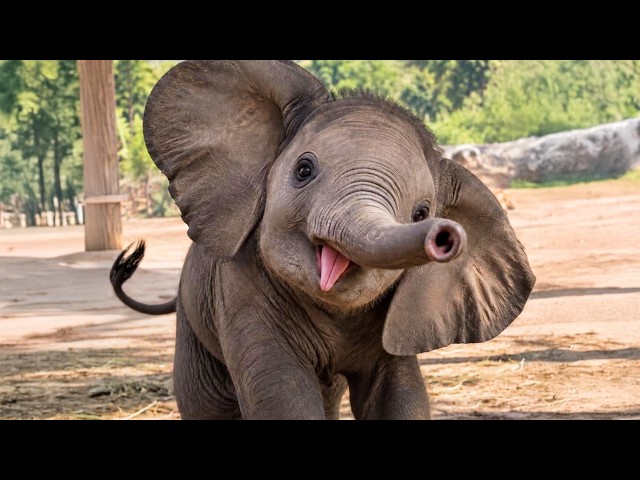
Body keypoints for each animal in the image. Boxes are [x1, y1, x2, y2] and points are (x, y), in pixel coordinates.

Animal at [110, 60, 536, 420]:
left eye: (421, 213)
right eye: (303, 170)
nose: (445, 236)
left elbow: (400, 394)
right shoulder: (239, 288)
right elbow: (282, 395)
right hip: (193, 315)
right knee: (207, 403)